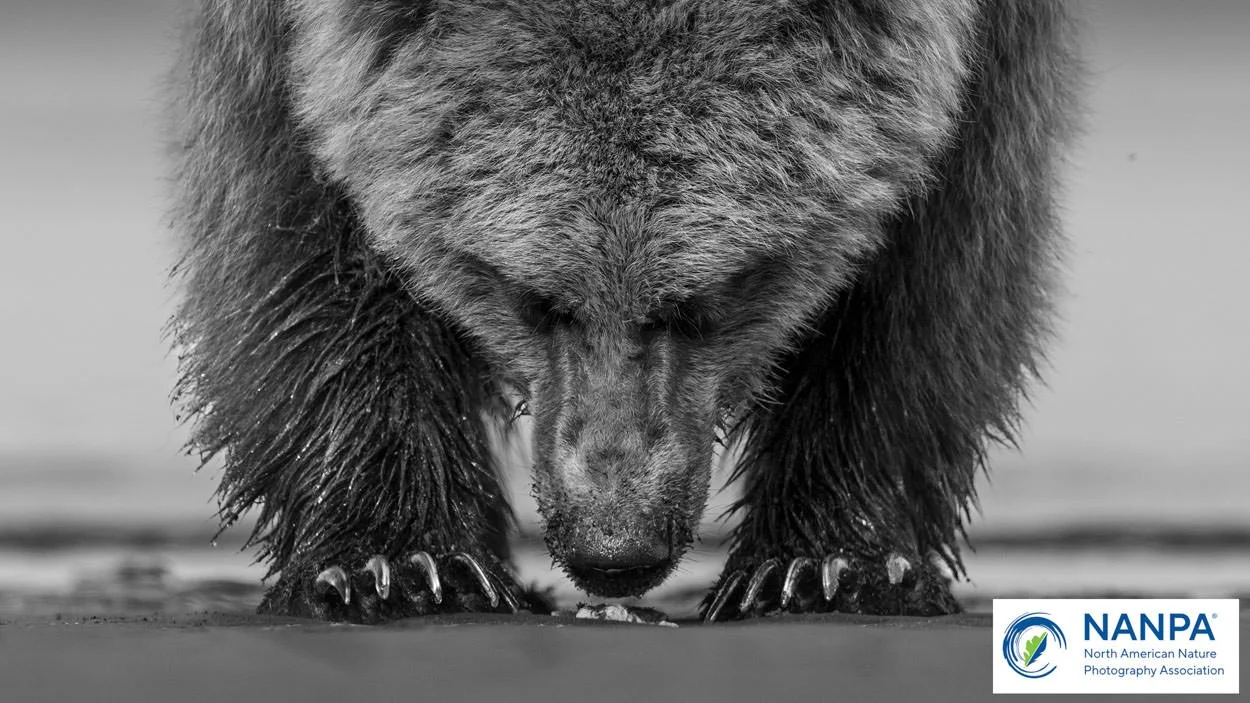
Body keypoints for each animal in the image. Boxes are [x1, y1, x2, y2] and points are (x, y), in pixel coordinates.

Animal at [168, 0, 1077, 623]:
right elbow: (309, 250)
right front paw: (399, 562)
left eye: (704, 298)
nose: (615, 547)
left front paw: (827, 566)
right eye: (536, 299)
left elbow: (927, 281)